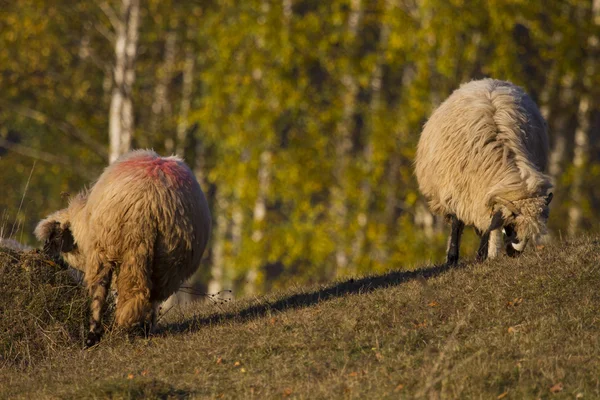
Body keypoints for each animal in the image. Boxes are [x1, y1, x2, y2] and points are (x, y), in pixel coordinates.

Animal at [34, 148, 211, 346]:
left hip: (125, 245)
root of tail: (152, 201)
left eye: (51, 240)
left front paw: (93, 334)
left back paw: (113, 329)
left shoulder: (99, 251)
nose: (43, 254)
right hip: (170, 258)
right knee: (152, 295)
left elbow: (99, 291)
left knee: (119, 291)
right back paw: (143, 328)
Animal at [418, 78, 552, 266]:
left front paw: (483, 255)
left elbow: (489, 226)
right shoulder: (457, 192)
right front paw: (452, 258)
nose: (514, 253)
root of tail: (489, 81)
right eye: (512, 226)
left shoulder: (486, 196)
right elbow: (457, 223)